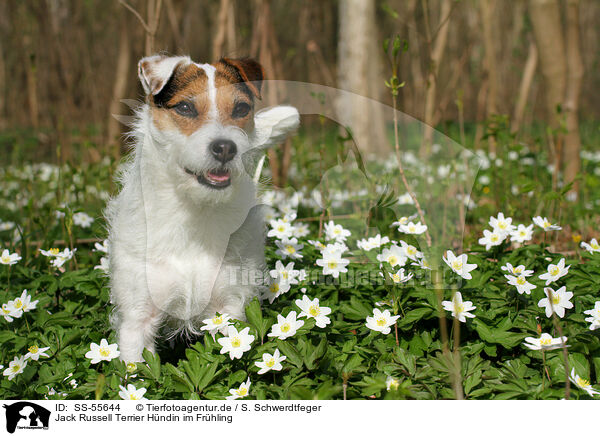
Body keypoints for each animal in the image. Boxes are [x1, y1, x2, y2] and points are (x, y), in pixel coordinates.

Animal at [106, 54, 300, 362]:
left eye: (241, 108)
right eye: (185, 107)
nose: (226, 148)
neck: (194, 212)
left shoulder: (229, 309)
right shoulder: (137, 320)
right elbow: (138, 371)